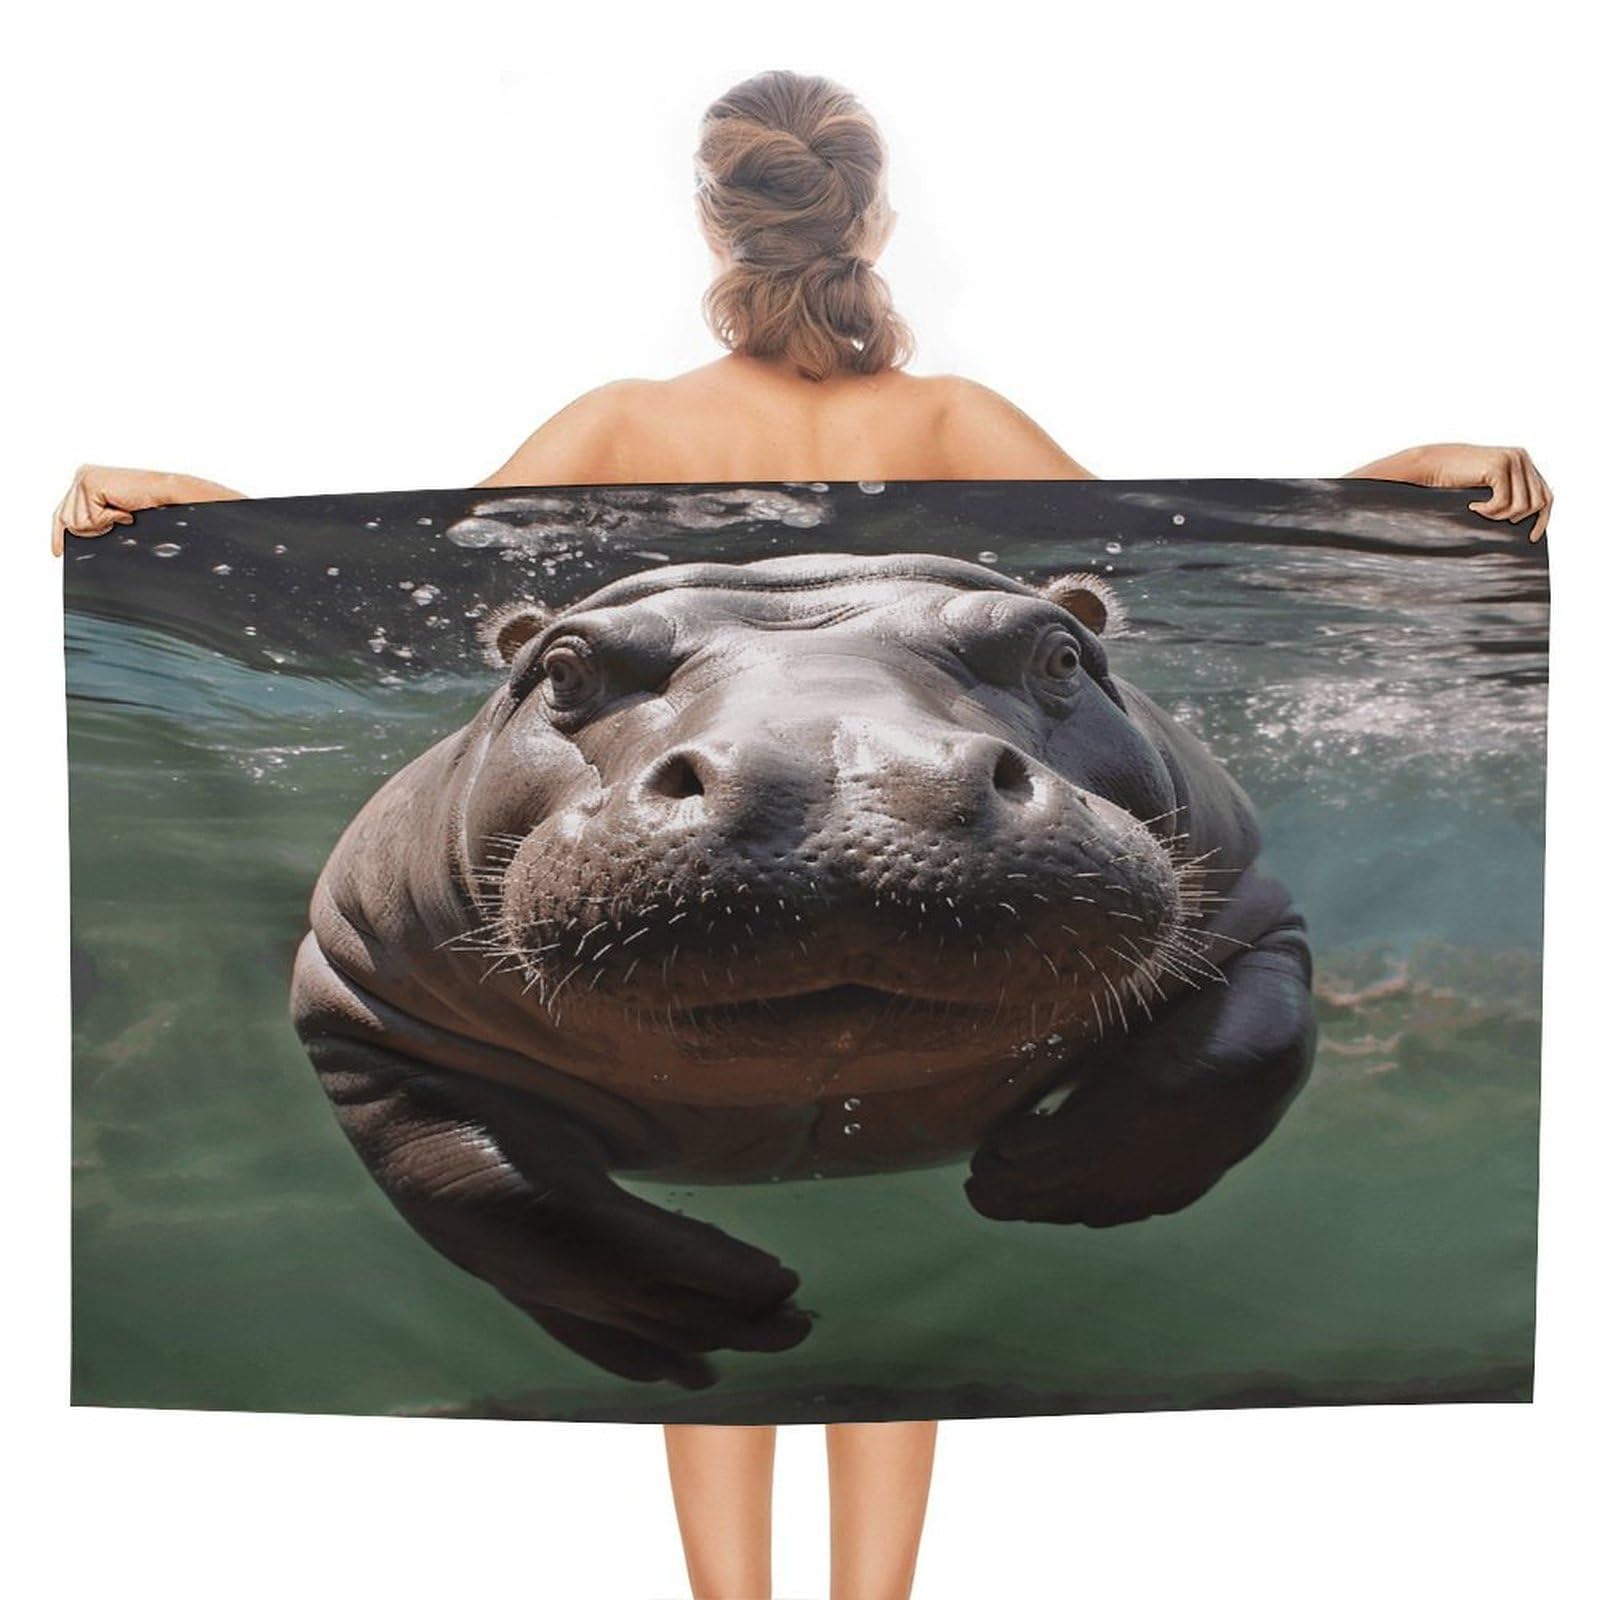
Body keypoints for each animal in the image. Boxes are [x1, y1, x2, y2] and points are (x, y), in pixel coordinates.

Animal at [290, 552, 1315, 1387]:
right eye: (564, 669)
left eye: (1060, 656)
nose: (835, 770)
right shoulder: (356, 999)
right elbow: (481, 1187)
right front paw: (727, 1306)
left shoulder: (1255, 915)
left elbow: (1238, 1058)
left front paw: (1040, 1180)